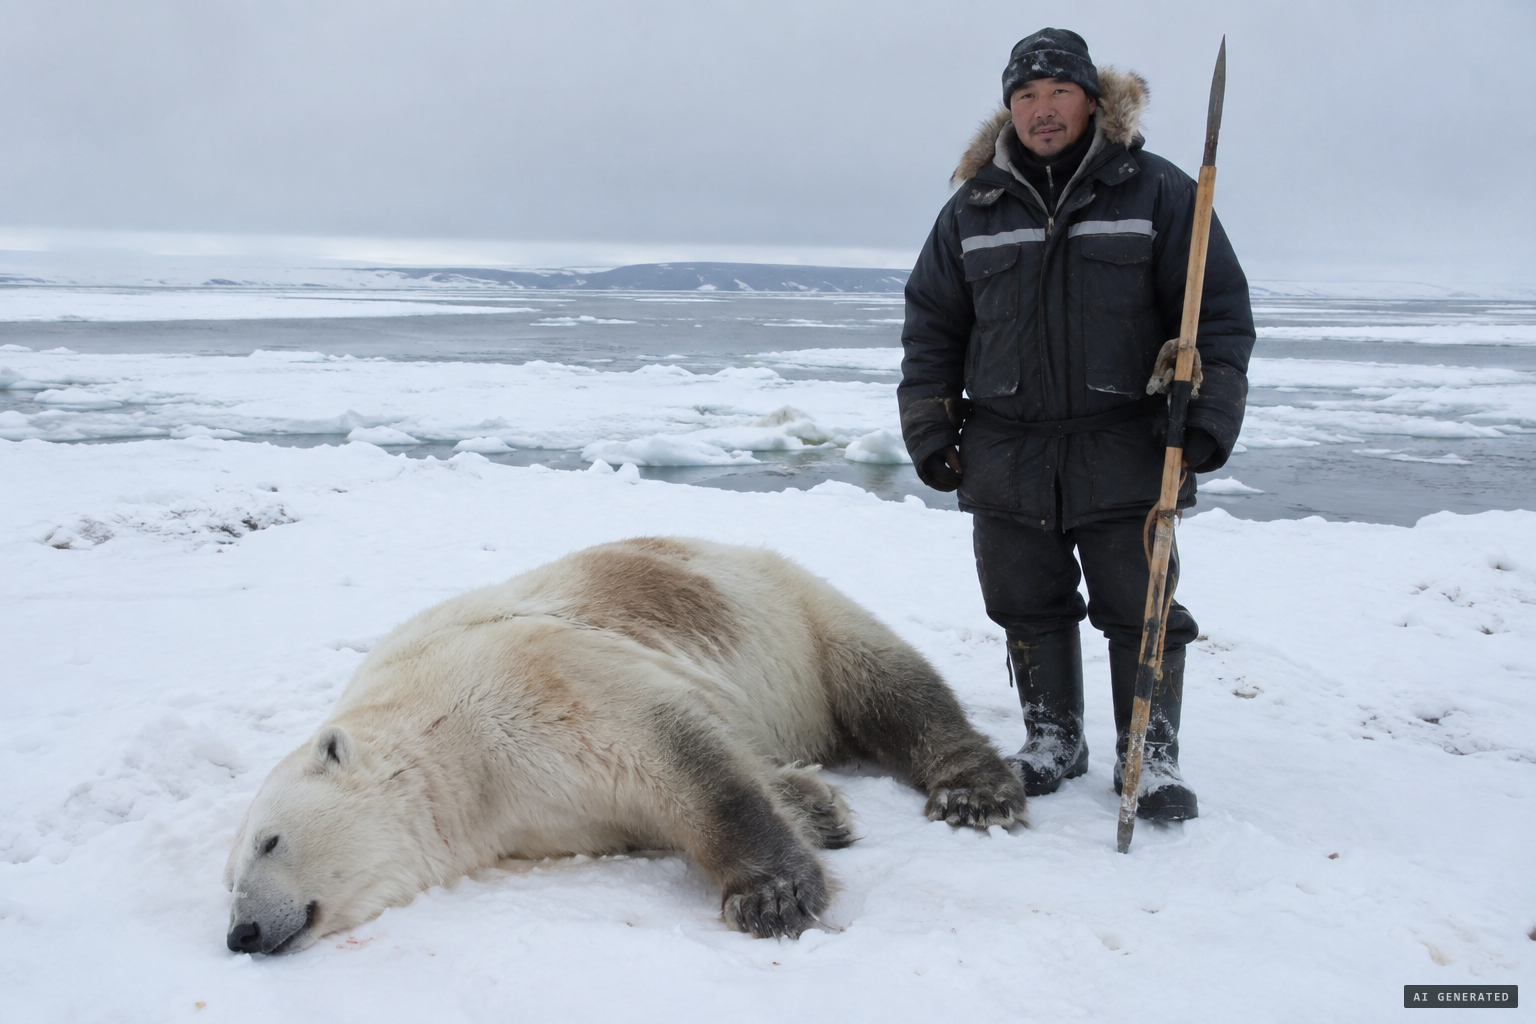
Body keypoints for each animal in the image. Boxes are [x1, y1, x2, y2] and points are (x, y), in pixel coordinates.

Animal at [224, 537, 1026, 953]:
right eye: (228, 881)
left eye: (269, 842)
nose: (242, 933)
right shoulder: (546, 814)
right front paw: (809, 809)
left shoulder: (531, 678)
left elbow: (682, 760)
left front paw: (770, 897)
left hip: (792, 607)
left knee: (887, 680)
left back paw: (973, 790)